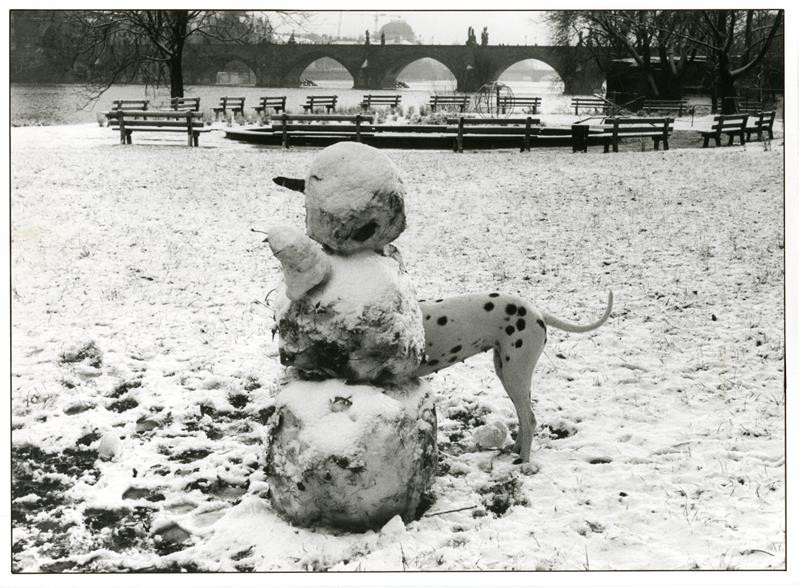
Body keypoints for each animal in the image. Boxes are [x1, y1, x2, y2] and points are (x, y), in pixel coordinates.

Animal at [418, 292, 612, 462]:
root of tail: (538, 313)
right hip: (509, 377)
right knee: (522, 417)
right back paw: (517, 448)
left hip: (514, 375)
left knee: (529, 419)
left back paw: (523, 460)